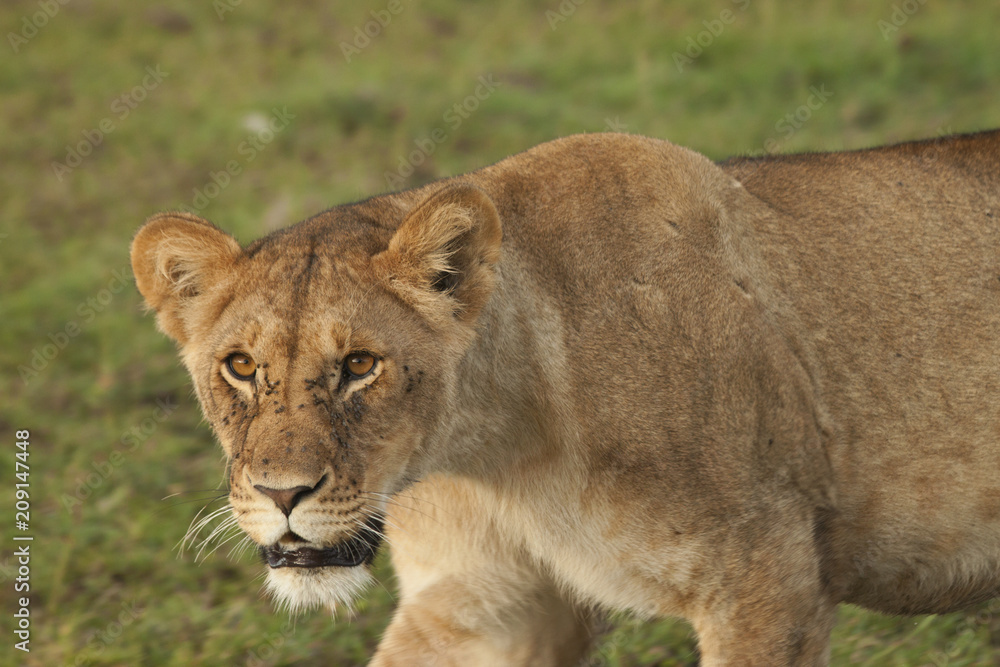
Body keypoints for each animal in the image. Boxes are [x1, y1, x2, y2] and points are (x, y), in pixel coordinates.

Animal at [131, 130, 1000, 666]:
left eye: (359, 364)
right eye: (240, 365)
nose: (283, 494)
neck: (493, 453)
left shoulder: (769, 578)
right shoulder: (486, 601)